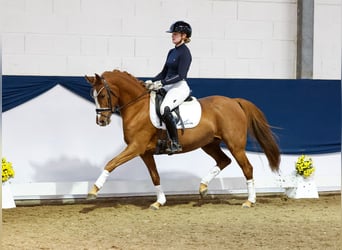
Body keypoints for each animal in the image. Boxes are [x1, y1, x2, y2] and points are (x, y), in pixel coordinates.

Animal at [84, 70, 280, 209]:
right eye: (93, 96)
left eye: (102, 95)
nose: (101, 121)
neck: (137, 107)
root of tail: (233, 101)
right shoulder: (145, 152)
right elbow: (155, 176)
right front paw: (159, 201)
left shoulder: (135, 147)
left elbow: (111, 163)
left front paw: (94, 190)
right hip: (209, 144)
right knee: (224, 160)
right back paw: (203, 187)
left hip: (235, 145)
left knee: (247, 167)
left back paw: (249, 201)